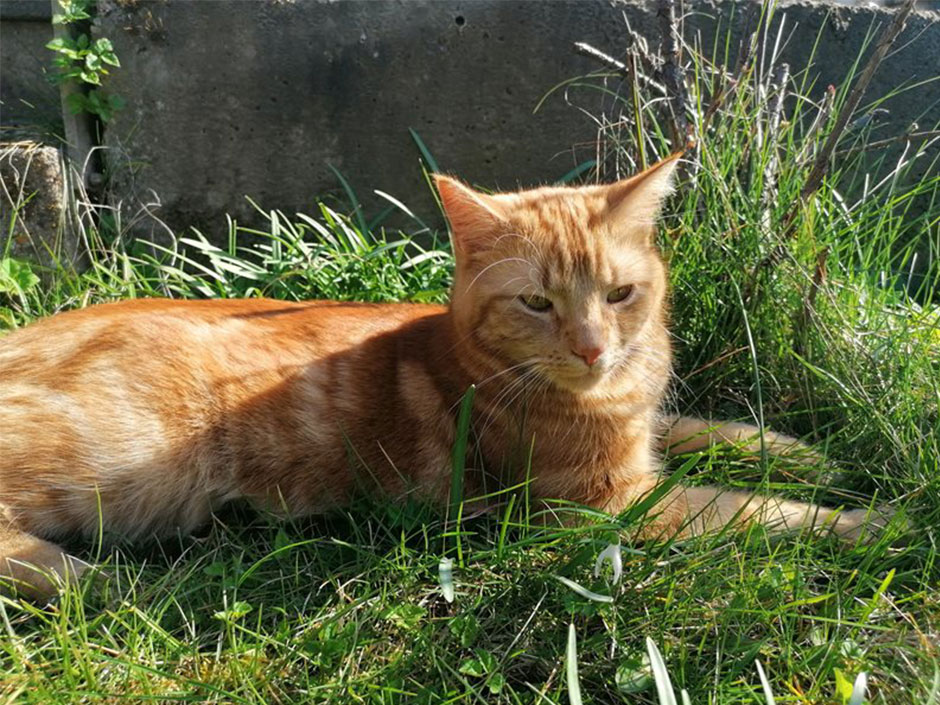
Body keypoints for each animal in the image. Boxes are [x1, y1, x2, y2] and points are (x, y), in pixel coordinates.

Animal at [0, 157, 888, 596]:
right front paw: (863, 521)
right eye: (537, 301)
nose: (593, 348)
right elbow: (752, 512)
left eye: (619, 294)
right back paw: (96, 583)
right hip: (120, 461)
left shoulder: (643, 433)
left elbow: (707, 427)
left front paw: (801, 452)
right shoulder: (605, 504)